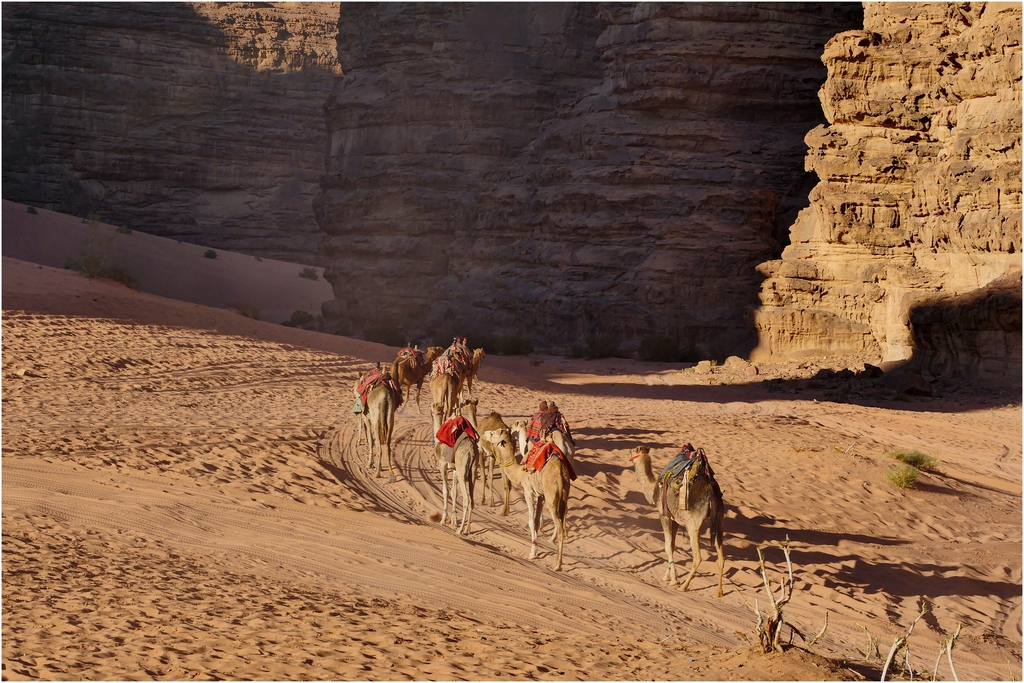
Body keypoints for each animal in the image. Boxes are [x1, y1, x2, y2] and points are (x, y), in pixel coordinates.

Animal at [432, 403, 479, 536]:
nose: (435, 408)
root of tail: (472, 450)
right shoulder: (454, 469)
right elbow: (454, 492)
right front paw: (453, 521)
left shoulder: (442, 464)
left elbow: (445, 491)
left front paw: (443, 520)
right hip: (472, 471)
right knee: (472, 500)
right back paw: (467, 529)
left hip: (462, 470)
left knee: (466, 500)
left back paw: (460, 530)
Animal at [483, 428, 573, 573]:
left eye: (493, 433)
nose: (484, 433)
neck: (520, 472)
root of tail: (560, 473)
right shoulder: (541, 495)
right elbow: (536, 522)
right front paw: (535, 551)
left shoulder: (528, 491)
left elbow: (531, 521)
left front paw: (532, 554)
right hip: (564, 493)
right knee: (563, 515)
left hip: (552, 497)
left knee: (559, 526)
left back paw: (557, 565)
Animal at [626, 446, 724, 593]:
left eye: (633, 451)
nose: (628, 454)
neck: (654, 488)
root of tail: (712, 495)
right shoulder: (674, 519)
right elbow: (672, 546)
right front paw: (668, 576)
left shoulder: (664, 514)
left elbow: (667, 546)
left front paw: (673, 580)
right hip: (719, 520)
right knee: (721, 557)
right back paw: (718, 593)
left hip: (693, 526)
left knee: (698, 557)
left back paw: (683, 587)